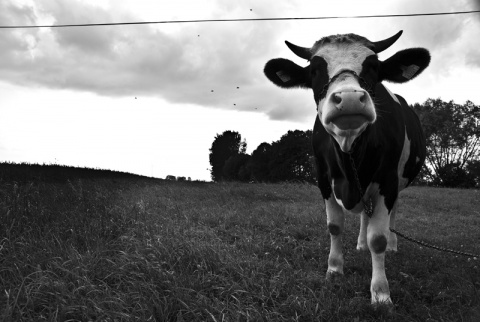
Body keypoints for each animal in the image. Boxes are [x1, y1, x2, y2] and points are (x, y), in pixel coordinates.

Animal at [264, 31, 430, 306]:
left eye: (373, 66)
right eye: (315, 70)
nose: (350, 98)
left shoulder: (387, 181)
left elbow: (378, 238)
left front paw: (381, 293)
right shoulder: (323, 178)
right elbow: (335, 226)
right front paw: (334, 270)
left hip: (398, 181)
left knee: (390, 215)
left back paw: (392, 245)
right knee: (365, 215)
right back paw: (361, 245)